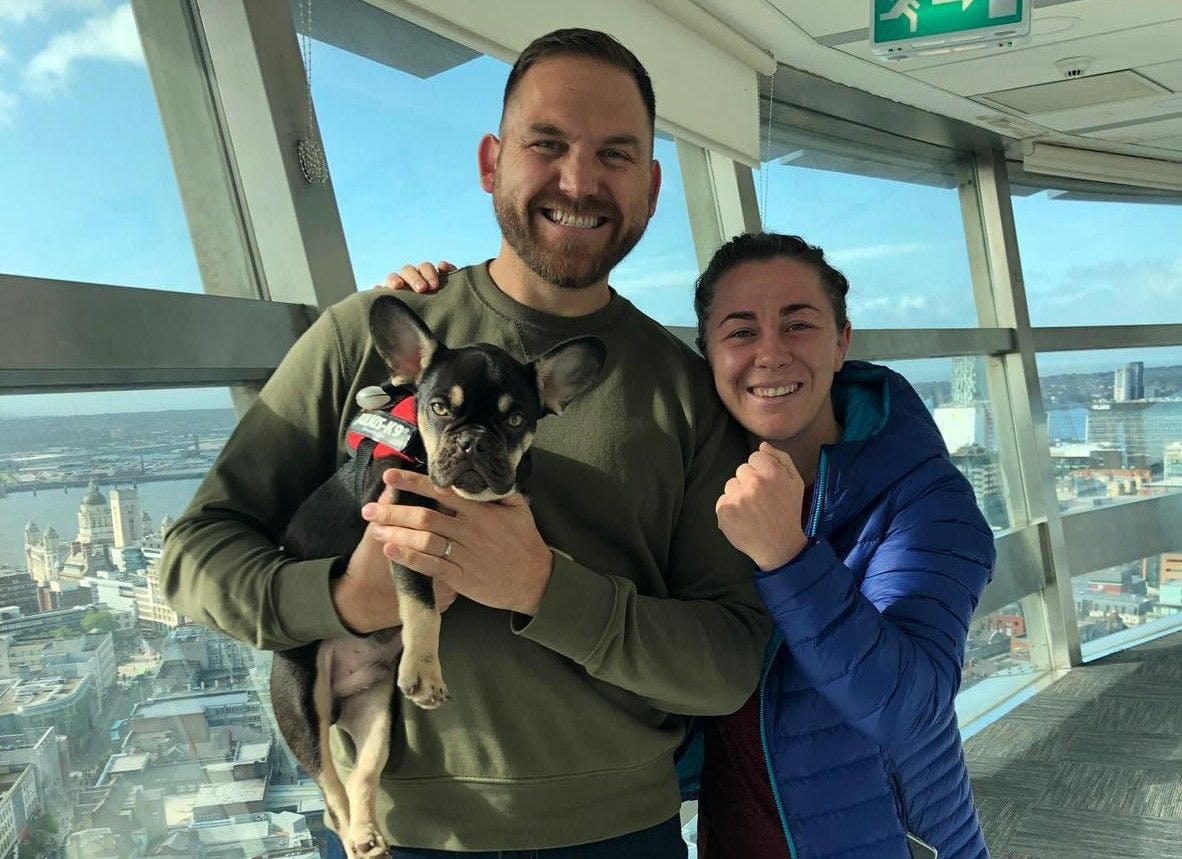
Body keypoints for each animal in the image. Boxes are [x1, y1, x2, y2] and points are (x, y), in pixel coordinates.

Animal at [269, 295, 605, 858]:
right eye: (440, 409)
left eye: (516, 419)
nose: (473, 443)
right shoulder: (406, 528)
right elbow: (423, 605)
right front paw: (427, 670)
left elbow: (537, 542)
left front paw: (563, 564)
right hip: (301, 703)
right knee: (329, 788)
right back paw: (354, 834)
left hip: (377, 714)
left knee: (361, 775)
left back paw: (367, 831)